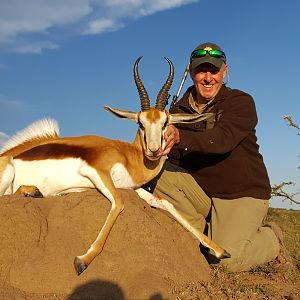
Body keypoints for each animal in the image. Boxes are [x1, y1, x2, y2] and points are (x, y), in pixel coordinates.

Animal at [0, 56, 230, 274]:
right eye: (140, 123)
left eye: (165, 123)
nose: (154, 150)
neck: (130, 157)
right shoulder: (97, 171)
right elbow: (119, 203)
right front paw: (82, 261)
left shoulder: (133, 188)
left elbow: (166, 203)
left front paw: (221, 250)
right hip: (9, 170)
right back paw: (34, 191)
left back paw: (36, 192)